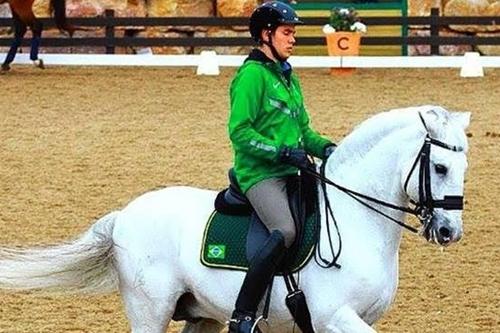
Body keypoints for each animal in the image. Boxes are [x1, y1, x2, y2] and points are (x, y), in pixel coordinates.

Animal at [0, 105, 468, 332]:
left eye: (465, 167)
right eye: (440, 167)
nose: (449, 231)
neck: (356, 223)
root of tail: (125, 216)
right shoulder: (335, 317)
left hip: (201, 315)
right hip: (150, 311)